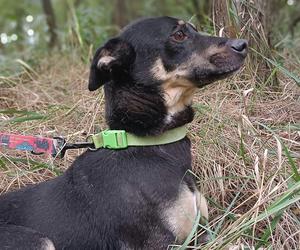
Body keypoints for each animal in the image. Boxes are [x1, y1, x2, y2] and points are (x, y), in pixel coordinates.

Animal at [0, 16, 247, 249]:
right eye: (178, 35)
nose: (243, 44)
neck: (145, 142)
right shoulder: (164, 244)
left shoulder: (203, 233)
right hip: (37, 240)